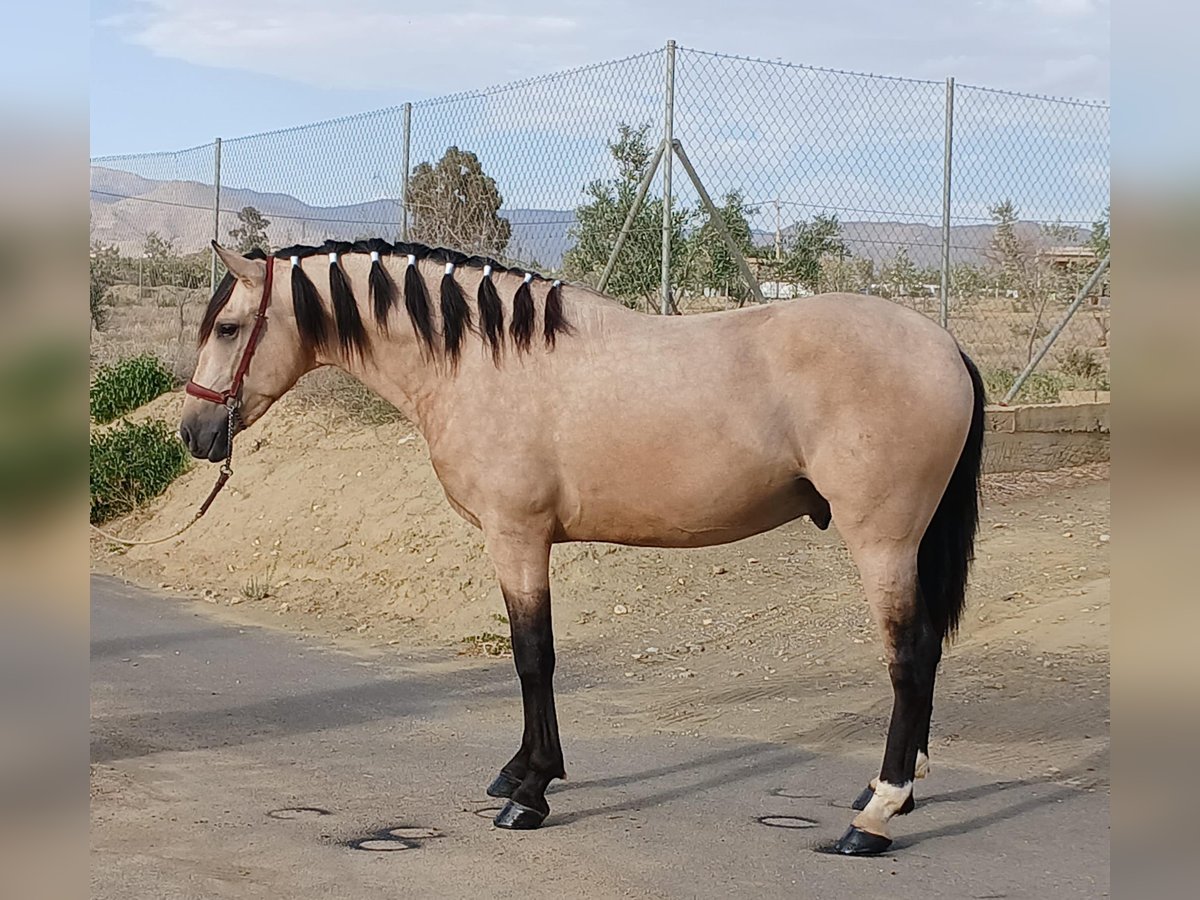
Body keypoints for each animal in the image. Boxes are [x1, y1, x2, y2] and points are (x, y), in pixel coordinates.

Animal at [180, 240, 984, 859]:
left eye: (228, 327)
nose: (194, 434)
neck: (483, 363)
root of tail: (944, 345)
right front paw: (516, 773)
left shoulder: (517, 535)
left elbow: (532, 655)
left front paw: (530, 792)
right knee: (927, 654)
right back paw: (889, 792)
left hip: (883, 541)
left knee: (910, 657)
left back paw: (876, 818)